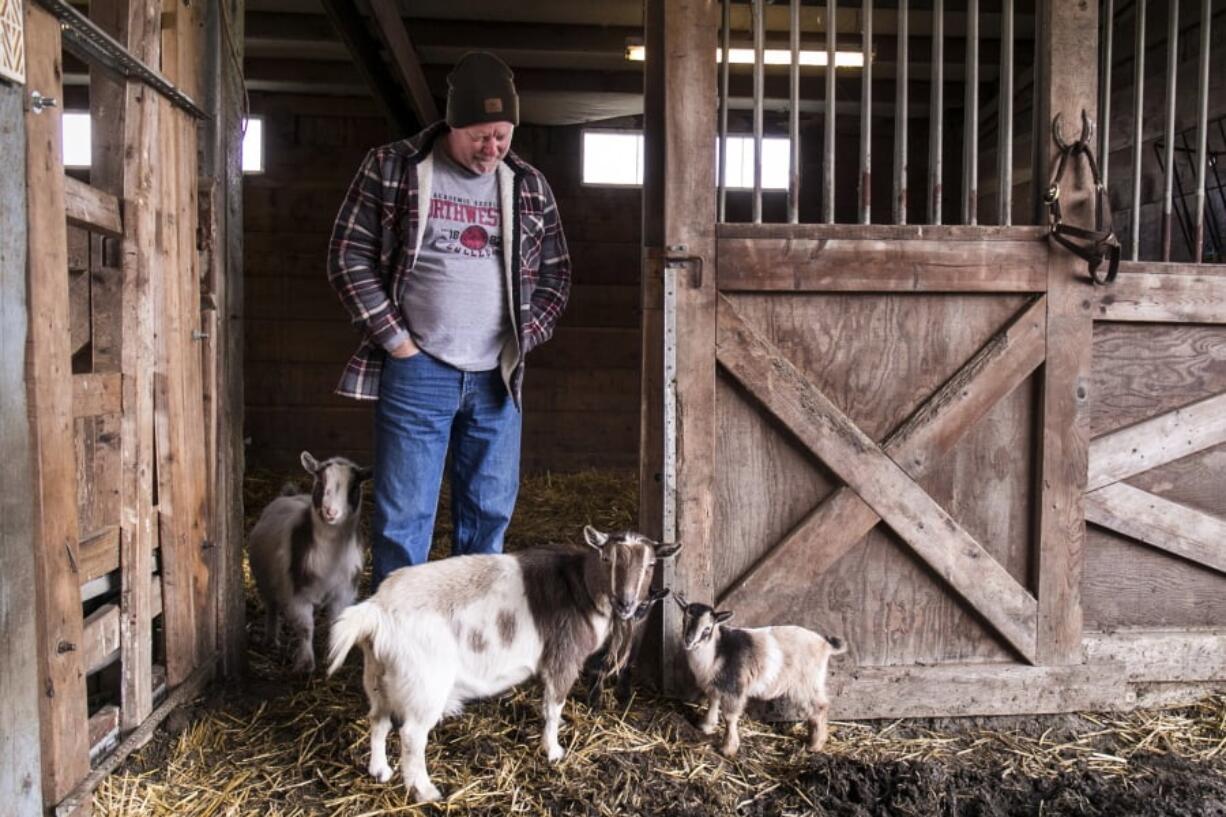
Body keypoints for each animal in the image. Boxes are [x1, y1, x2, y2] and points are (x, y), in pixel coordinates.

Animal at [243, 448, 367, 672]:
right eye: (320, 482)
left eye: (354, 487)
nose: (330, 511)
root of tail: (290, 496)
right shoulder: (297, 593)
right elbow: (305, 627)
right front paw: (306, 663)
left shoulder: (343, 592)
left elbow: (336, 622)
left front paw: (333, 657)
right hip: (264, 580)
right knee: (272, 607)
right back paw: (271, 639)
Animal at [328, 525, 681, 799]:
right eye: (607, 559)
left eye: (651, 564)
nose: (626, 604)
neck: (580, 586)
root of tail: (377, 610)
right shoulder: (562, 658)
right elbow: (553, 707)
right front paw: (553, 751)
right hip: (424, 684)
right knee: (412, 735)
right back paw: (425, 790)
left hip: (378, 676)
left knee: (378, 719)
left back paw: (380, 770)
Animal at [676, 591, 848, 755]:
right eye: (684, 621)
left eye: (707, 629)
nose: (688, 641)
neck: (716, 651)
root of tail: (825, 644)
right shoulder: (715, 685)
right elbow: (713, 703)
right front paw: (706, 726)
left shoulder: (734, 688)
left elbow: (730, 717)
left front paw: (728, 748)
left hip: (806, 681)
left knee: (819, 707)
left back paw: (815, 745)